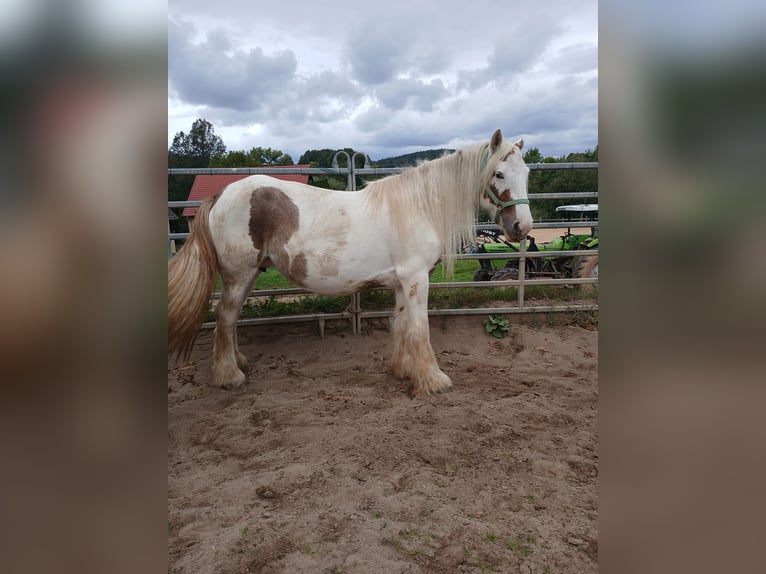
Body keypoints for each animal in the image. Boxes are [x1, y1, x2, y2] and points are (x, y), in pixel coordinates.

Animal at [166, 129, 536, 396]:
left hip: (249, 274)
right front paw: (433, 380)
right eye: (499, 173)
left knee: (230, 318)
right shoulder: (417, 279)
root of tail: (222, 194)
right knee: (225, 316)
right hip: (238, 274)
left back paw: (238, 362)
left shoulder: (402, 282)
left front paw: (403, 371)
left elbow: (401, 325)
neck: (418, 206)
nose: (522, 227)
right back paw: (229, 375)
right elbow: (420, 329)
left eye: (527, 173)